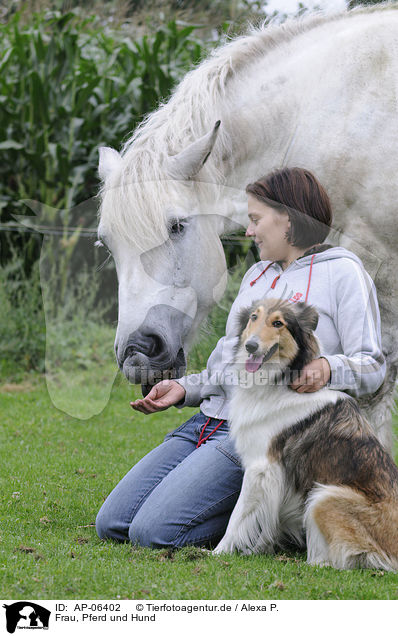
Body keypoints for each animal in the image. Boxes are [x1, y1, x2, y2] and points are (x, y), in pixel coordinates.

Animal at [215, 298, 398, 572]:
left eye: (278, 323)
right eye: (253, 317)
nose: (250, 346)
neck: (280, 383)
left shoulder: (261, 467)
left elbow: (238, 516)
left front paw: (217, 553)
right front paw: (259, 548)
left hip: (324, 496)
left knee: (341, 561)